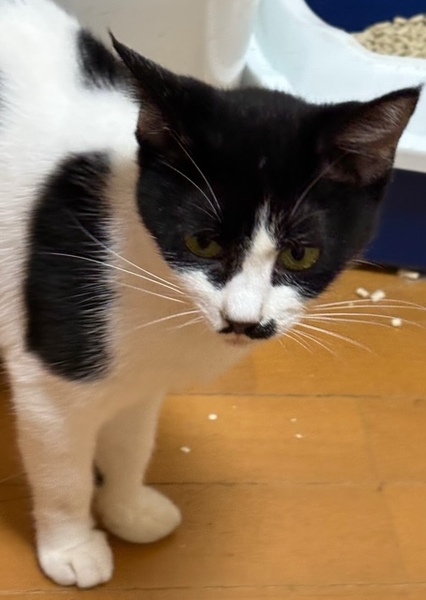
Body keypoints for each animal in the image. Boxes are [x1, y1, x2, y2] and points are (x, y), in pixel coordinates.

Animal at [0, 0, 419, 589]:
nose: (244, 320)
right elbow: (64, 471)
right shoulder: (51, 373)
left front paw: (128, 507)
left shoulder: (141, 376)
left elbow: (133, 440)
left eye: (300, 255)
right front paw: (72, 545)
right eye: (202, 242)